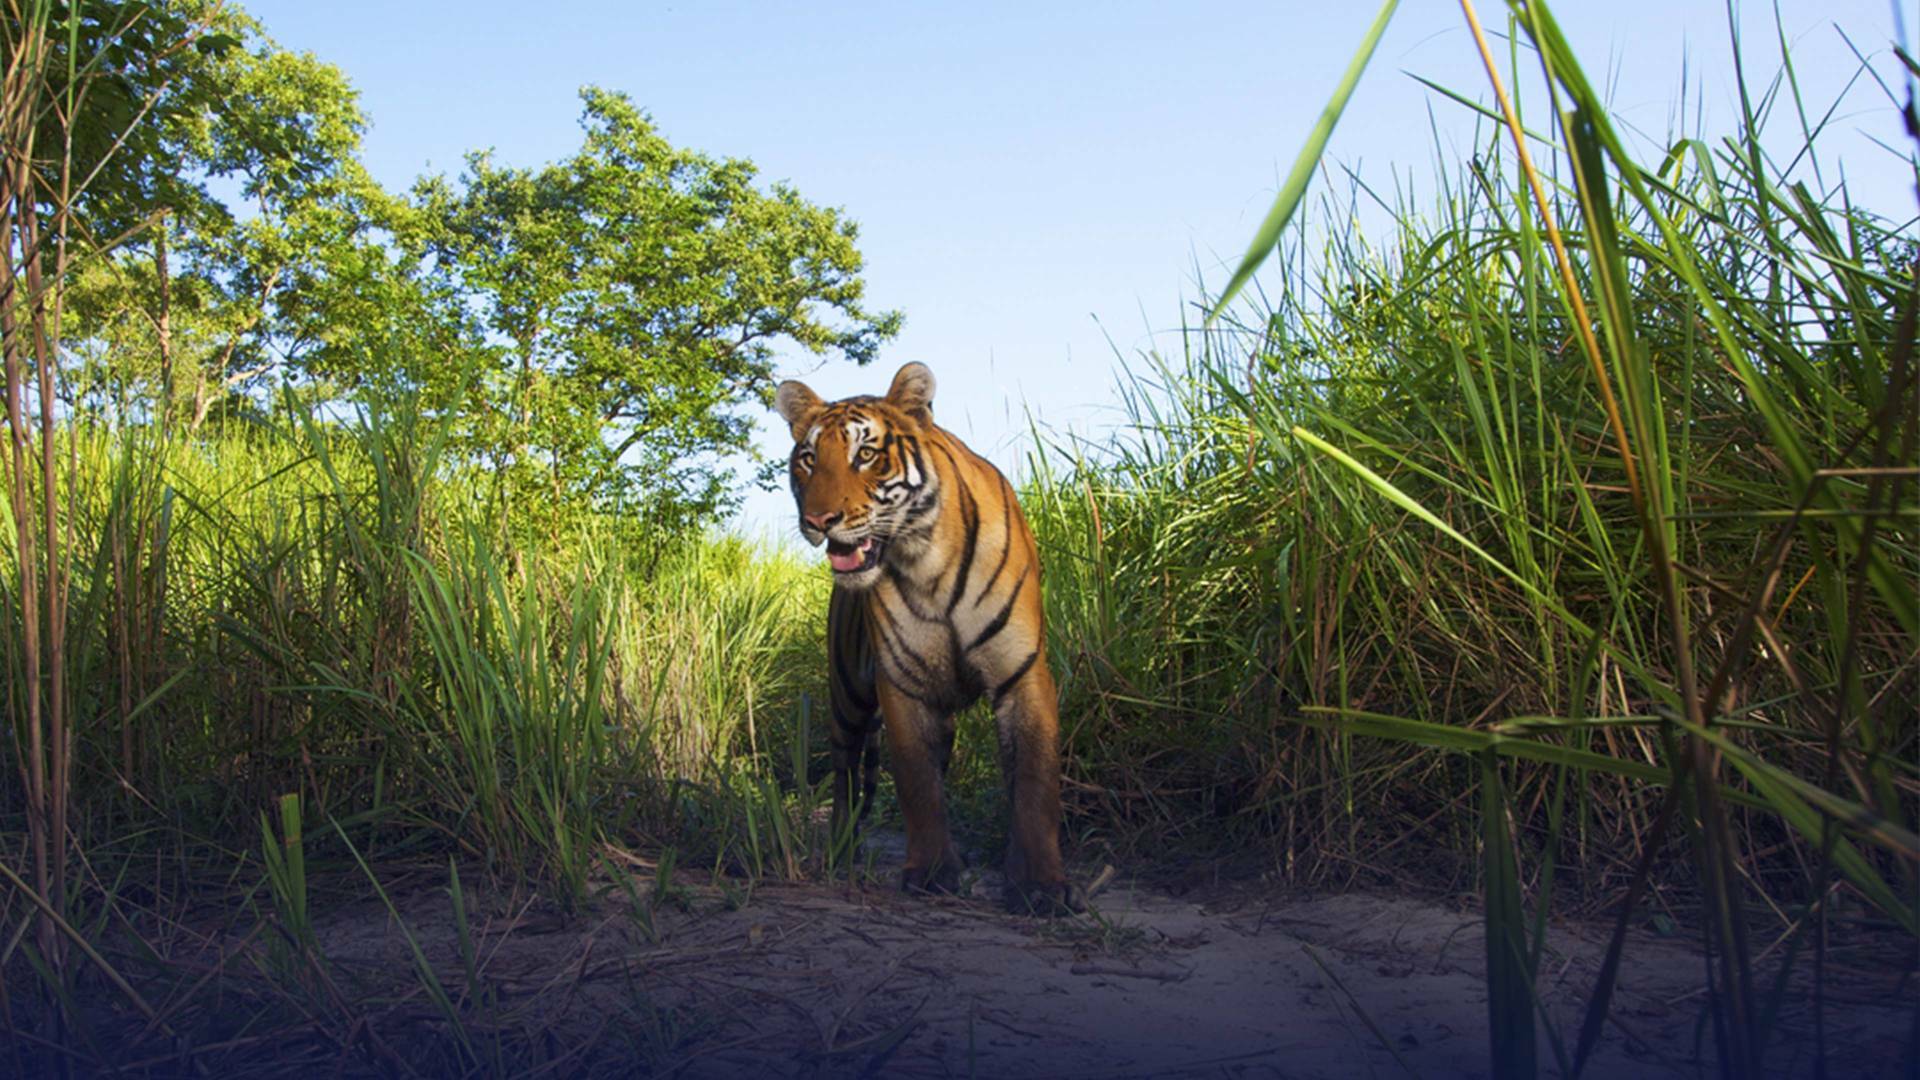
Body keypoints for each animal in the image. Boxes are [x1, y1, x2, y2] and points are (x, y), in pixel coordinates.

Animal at [774, 362, 1084, 915]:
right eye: (809, 460)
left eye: (865, 454)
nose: (818, 521)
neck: (925, 561)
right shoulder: (903, 682)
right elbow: (917, 783)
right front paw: (933, 873)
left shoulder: (1021, 673)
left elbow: (1035, 781)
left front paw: (1041, 885)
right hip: (848, 692)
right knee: (847, 771)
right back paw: (841, 851)